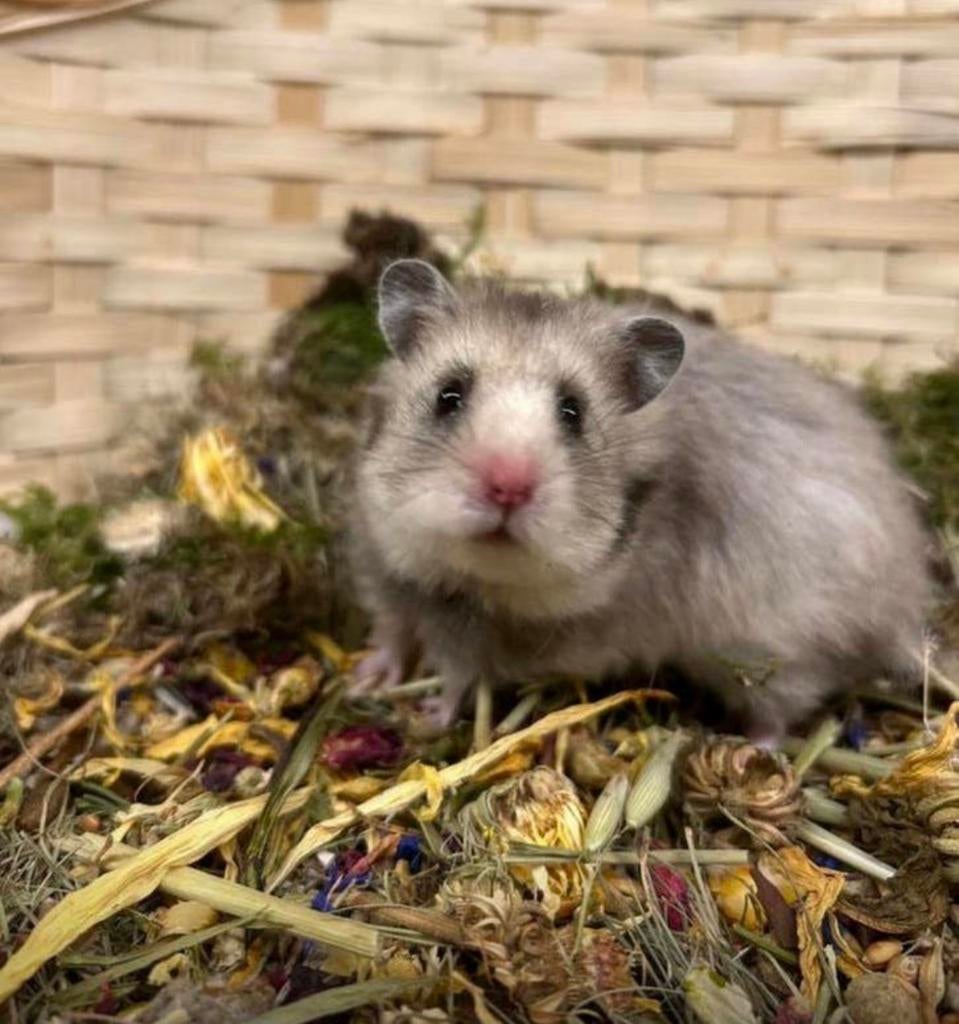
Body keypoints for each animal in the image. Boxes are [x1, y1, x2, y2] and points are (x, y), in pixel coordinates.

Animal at [346, 258, 932, 743]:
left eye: (573, 413)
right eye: (449, 395)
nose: (508, 486)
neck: (466, 575)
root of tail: (905, 604)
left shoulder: (493, 640)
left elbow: (458, 676)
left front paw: (427, 715)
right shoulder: (388, 570)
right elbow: (391, 633)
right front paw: (363, 679)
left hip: (783, 656)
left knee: (782, 713)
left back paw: (749, 750)